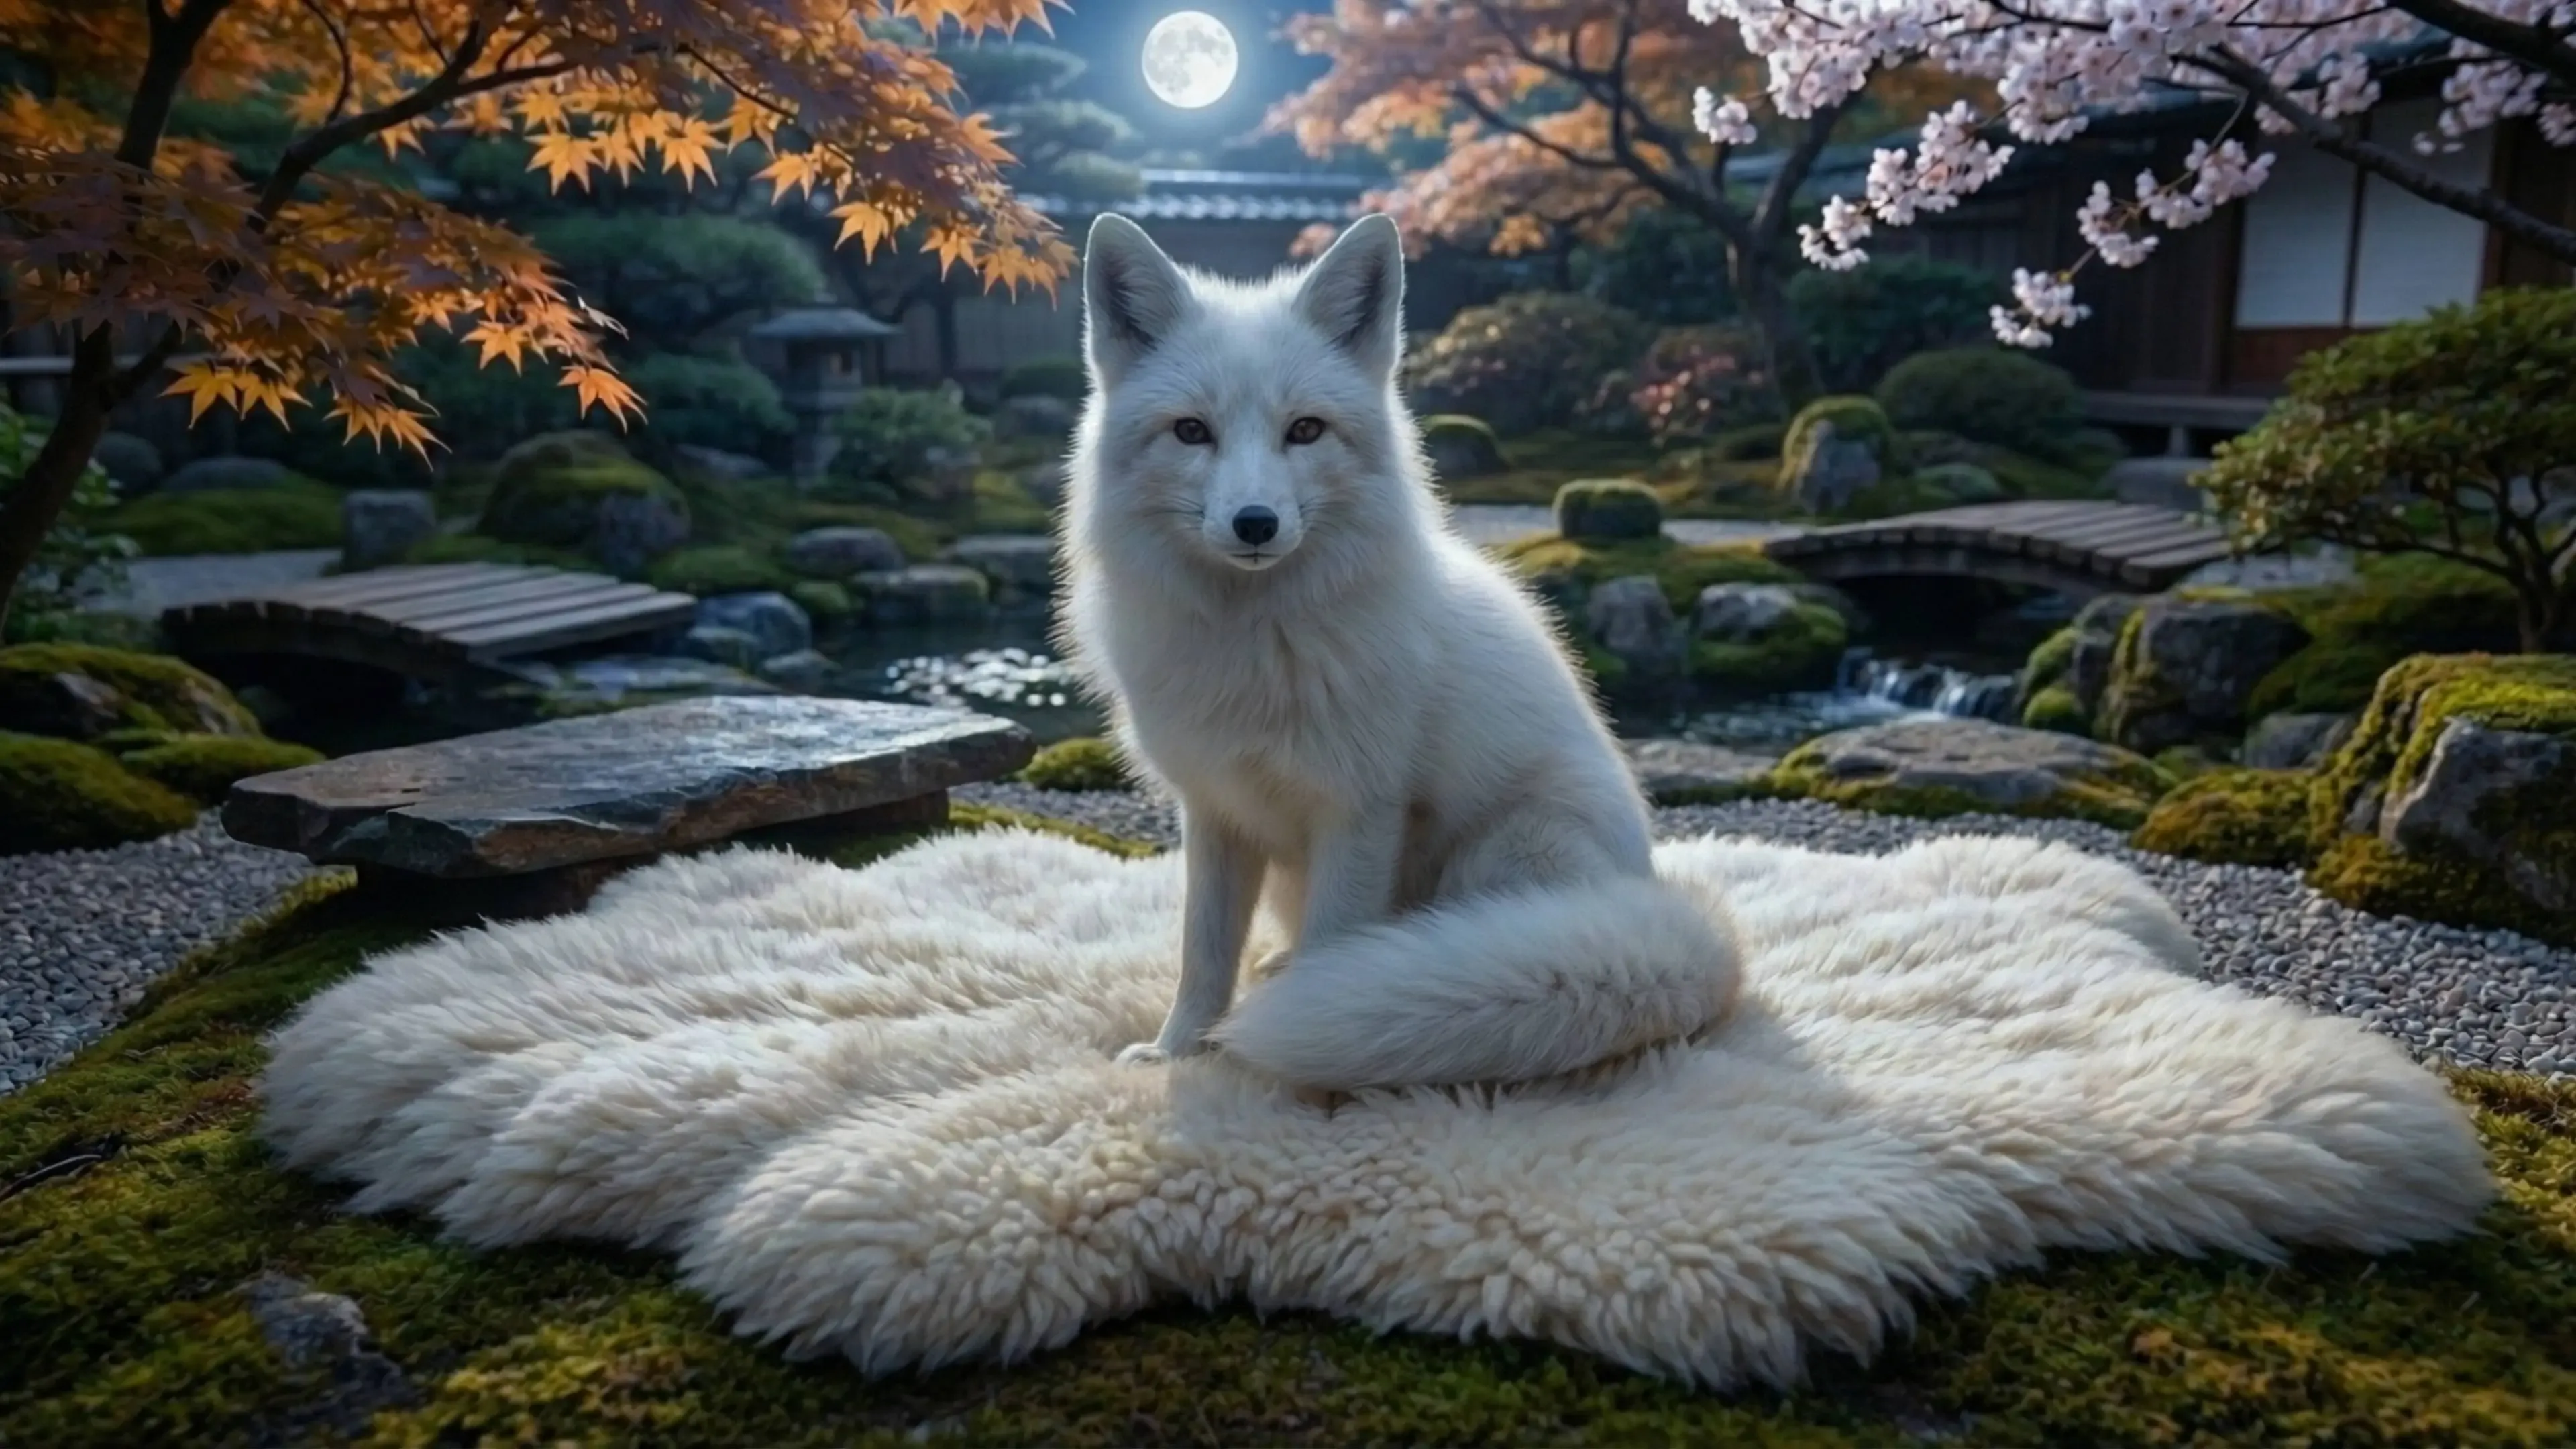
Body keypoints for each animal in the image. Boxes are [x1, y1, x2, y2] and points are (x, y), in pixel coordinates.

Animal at [1055, 211, 1743, 1092]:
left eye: (1305, 430)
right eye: (1191, 432)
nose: (1254, 524)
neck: (1256, 648)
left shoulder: (1360, 810)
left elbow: (1329, 951)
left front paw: (1284, 1073)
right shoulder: (1215, 812)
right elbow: (1201, 955)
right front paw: (1176, 1053)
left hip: (1504, 852)